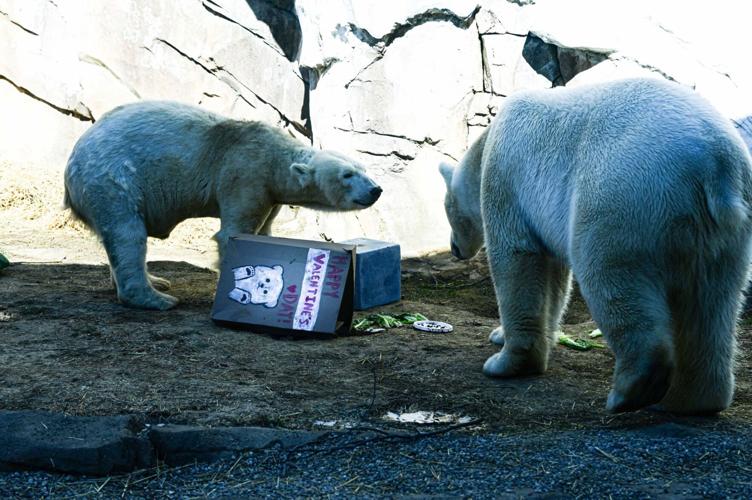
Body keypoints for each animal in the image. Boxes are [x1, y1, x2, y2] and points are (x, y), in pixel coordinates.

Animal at [64, 101, 382, 310]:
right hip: (113, 179)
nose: (375, 190)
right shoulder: (244, 172)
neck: (274, 156)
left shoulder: (269, 194)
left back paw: (157, 281)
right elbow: (234, 232)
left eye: (363, 169)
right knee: (127, 234)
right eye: (347, 175)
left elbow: (263, 231)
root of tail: (72, 162)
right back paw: (158, 298)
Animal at [439, 78, 752, 414]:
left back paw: (629, 391)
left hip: (624, 196)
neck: (486, 144)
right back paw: (692, 400)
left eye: (446, 209)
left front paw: (505, 362)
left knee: (609, 275)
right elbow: (554, 281)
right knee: (714, 302)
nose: (454, 249)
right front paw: (507, 336)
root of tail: (718, 166)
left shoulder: (507, 180)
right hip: (724, 232)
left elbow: (518, 259)